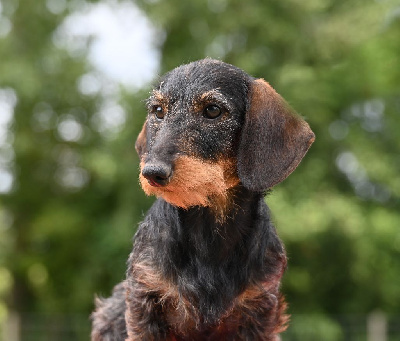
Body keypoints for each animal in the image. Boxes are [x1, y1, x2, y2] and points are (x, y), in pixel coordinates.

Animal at [90, 57, 316, 338]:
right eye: (158, 110)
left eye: (212, 110)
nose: (152, 172)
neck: (209, 227)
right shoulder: (144, 299)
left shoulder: (259, 310)